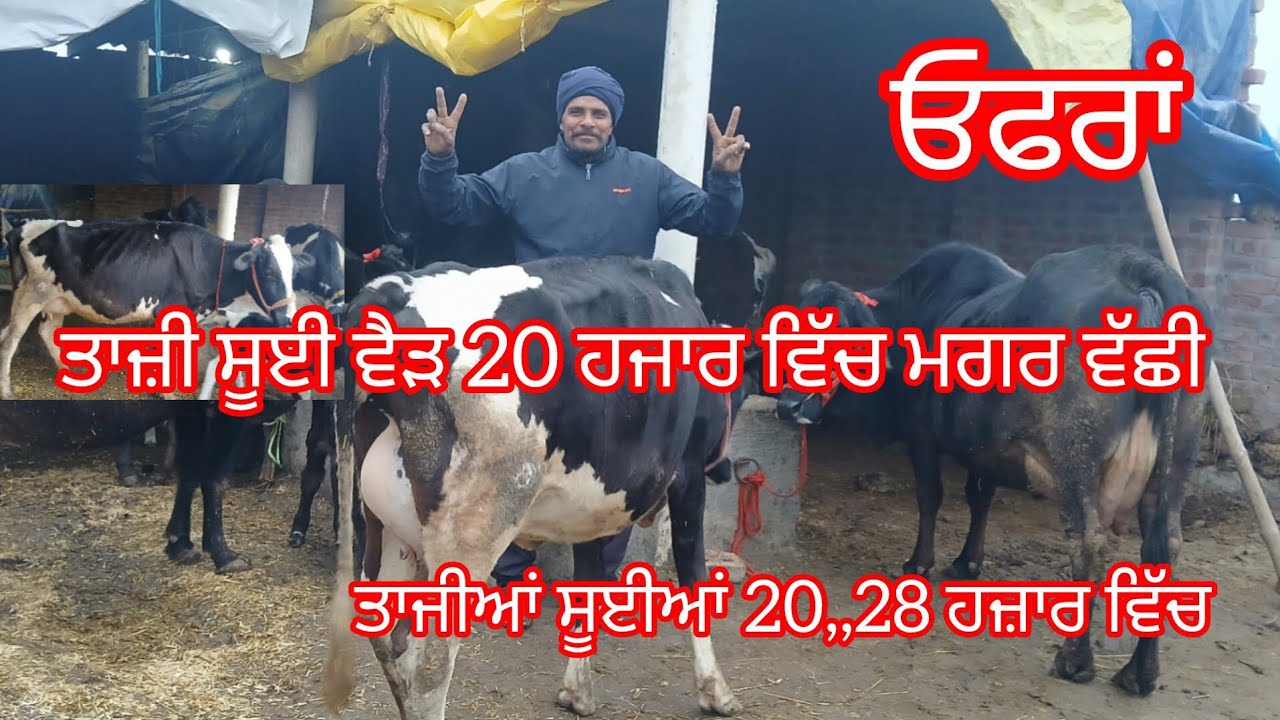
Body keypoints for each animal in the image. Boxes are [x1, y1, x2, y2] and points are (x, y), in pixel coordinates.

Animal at [0, 217, 299, 399]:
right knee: (11, 340)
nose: (287, 318)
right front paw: (167, 392)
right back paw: (7, 390)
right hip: (31, 293)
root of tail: (22, 226)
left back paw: (69, 371)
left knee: (45, 331)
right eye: (269, 272)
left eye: (294, 272)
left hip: (59, 300)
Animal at [319, 254, 754, 719]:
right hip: (469, 533)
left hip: (387, 530)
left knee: (391, 644)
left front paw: (577, 692)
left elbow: (588, 583)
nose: (729, 470)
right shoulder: (688, 476)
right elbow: (693, 577)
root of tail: (389, 290)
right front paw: (716, 692)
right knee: (428, 673)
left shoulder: (591, 504)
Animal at [772, 241, 1213, 697]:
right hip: (1175, 466)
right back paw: (1139, 672)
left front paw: (919, 563)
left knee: (1090, 542)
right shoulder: (984, 449)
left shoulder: (921, 435)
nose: (788, 405)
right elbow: (978, 499)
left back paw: (1074, 660)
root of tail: (1140, 268)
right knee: (1163, 547)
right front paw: (968, 563)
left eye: (840, 333)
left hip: (1076, 457)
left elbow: (930, 495)